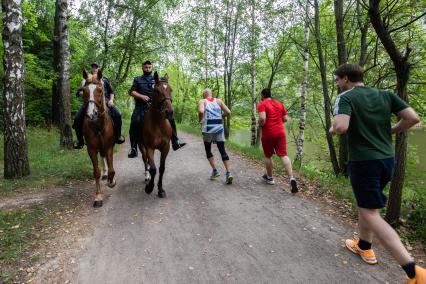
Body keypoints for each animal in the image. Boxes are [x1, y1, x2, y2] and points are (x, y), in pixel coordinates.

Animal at [80, 69, 115, 206]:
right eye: (84, 90)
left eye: (100, 90)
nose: (91, 114)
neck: (98, 125)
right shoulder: (92, 149)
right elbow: (96, 172)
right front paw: (98, 197)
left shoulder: (109, 146)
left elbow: (111, 169)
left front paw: (111, 182)